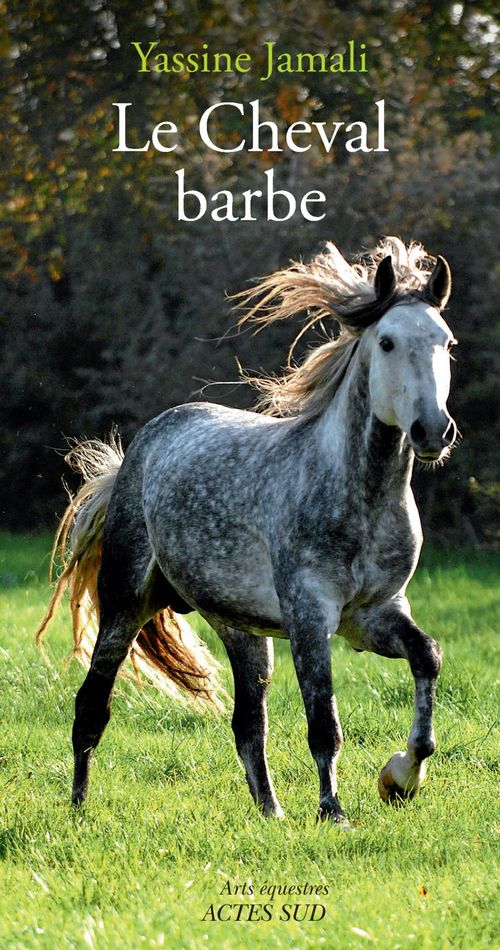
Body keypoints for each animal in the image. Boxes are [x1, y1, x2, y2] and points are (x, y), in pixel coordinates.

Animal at [37, 237, 458, 823]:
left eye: (446, 342)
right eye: (388, 341)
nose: (433, 431)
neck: (357, 497)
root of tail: (137, 453)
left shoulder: (373, 616)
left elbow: (428, 658)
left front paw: (400, 777)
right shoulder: (310, 616)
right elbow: (324, 724)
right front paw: (333, 811)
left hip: (245, 633)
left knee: (248, 726)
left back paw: (271, 813)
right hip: (125, 605)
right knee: (91, 707)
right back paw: (78, 809)